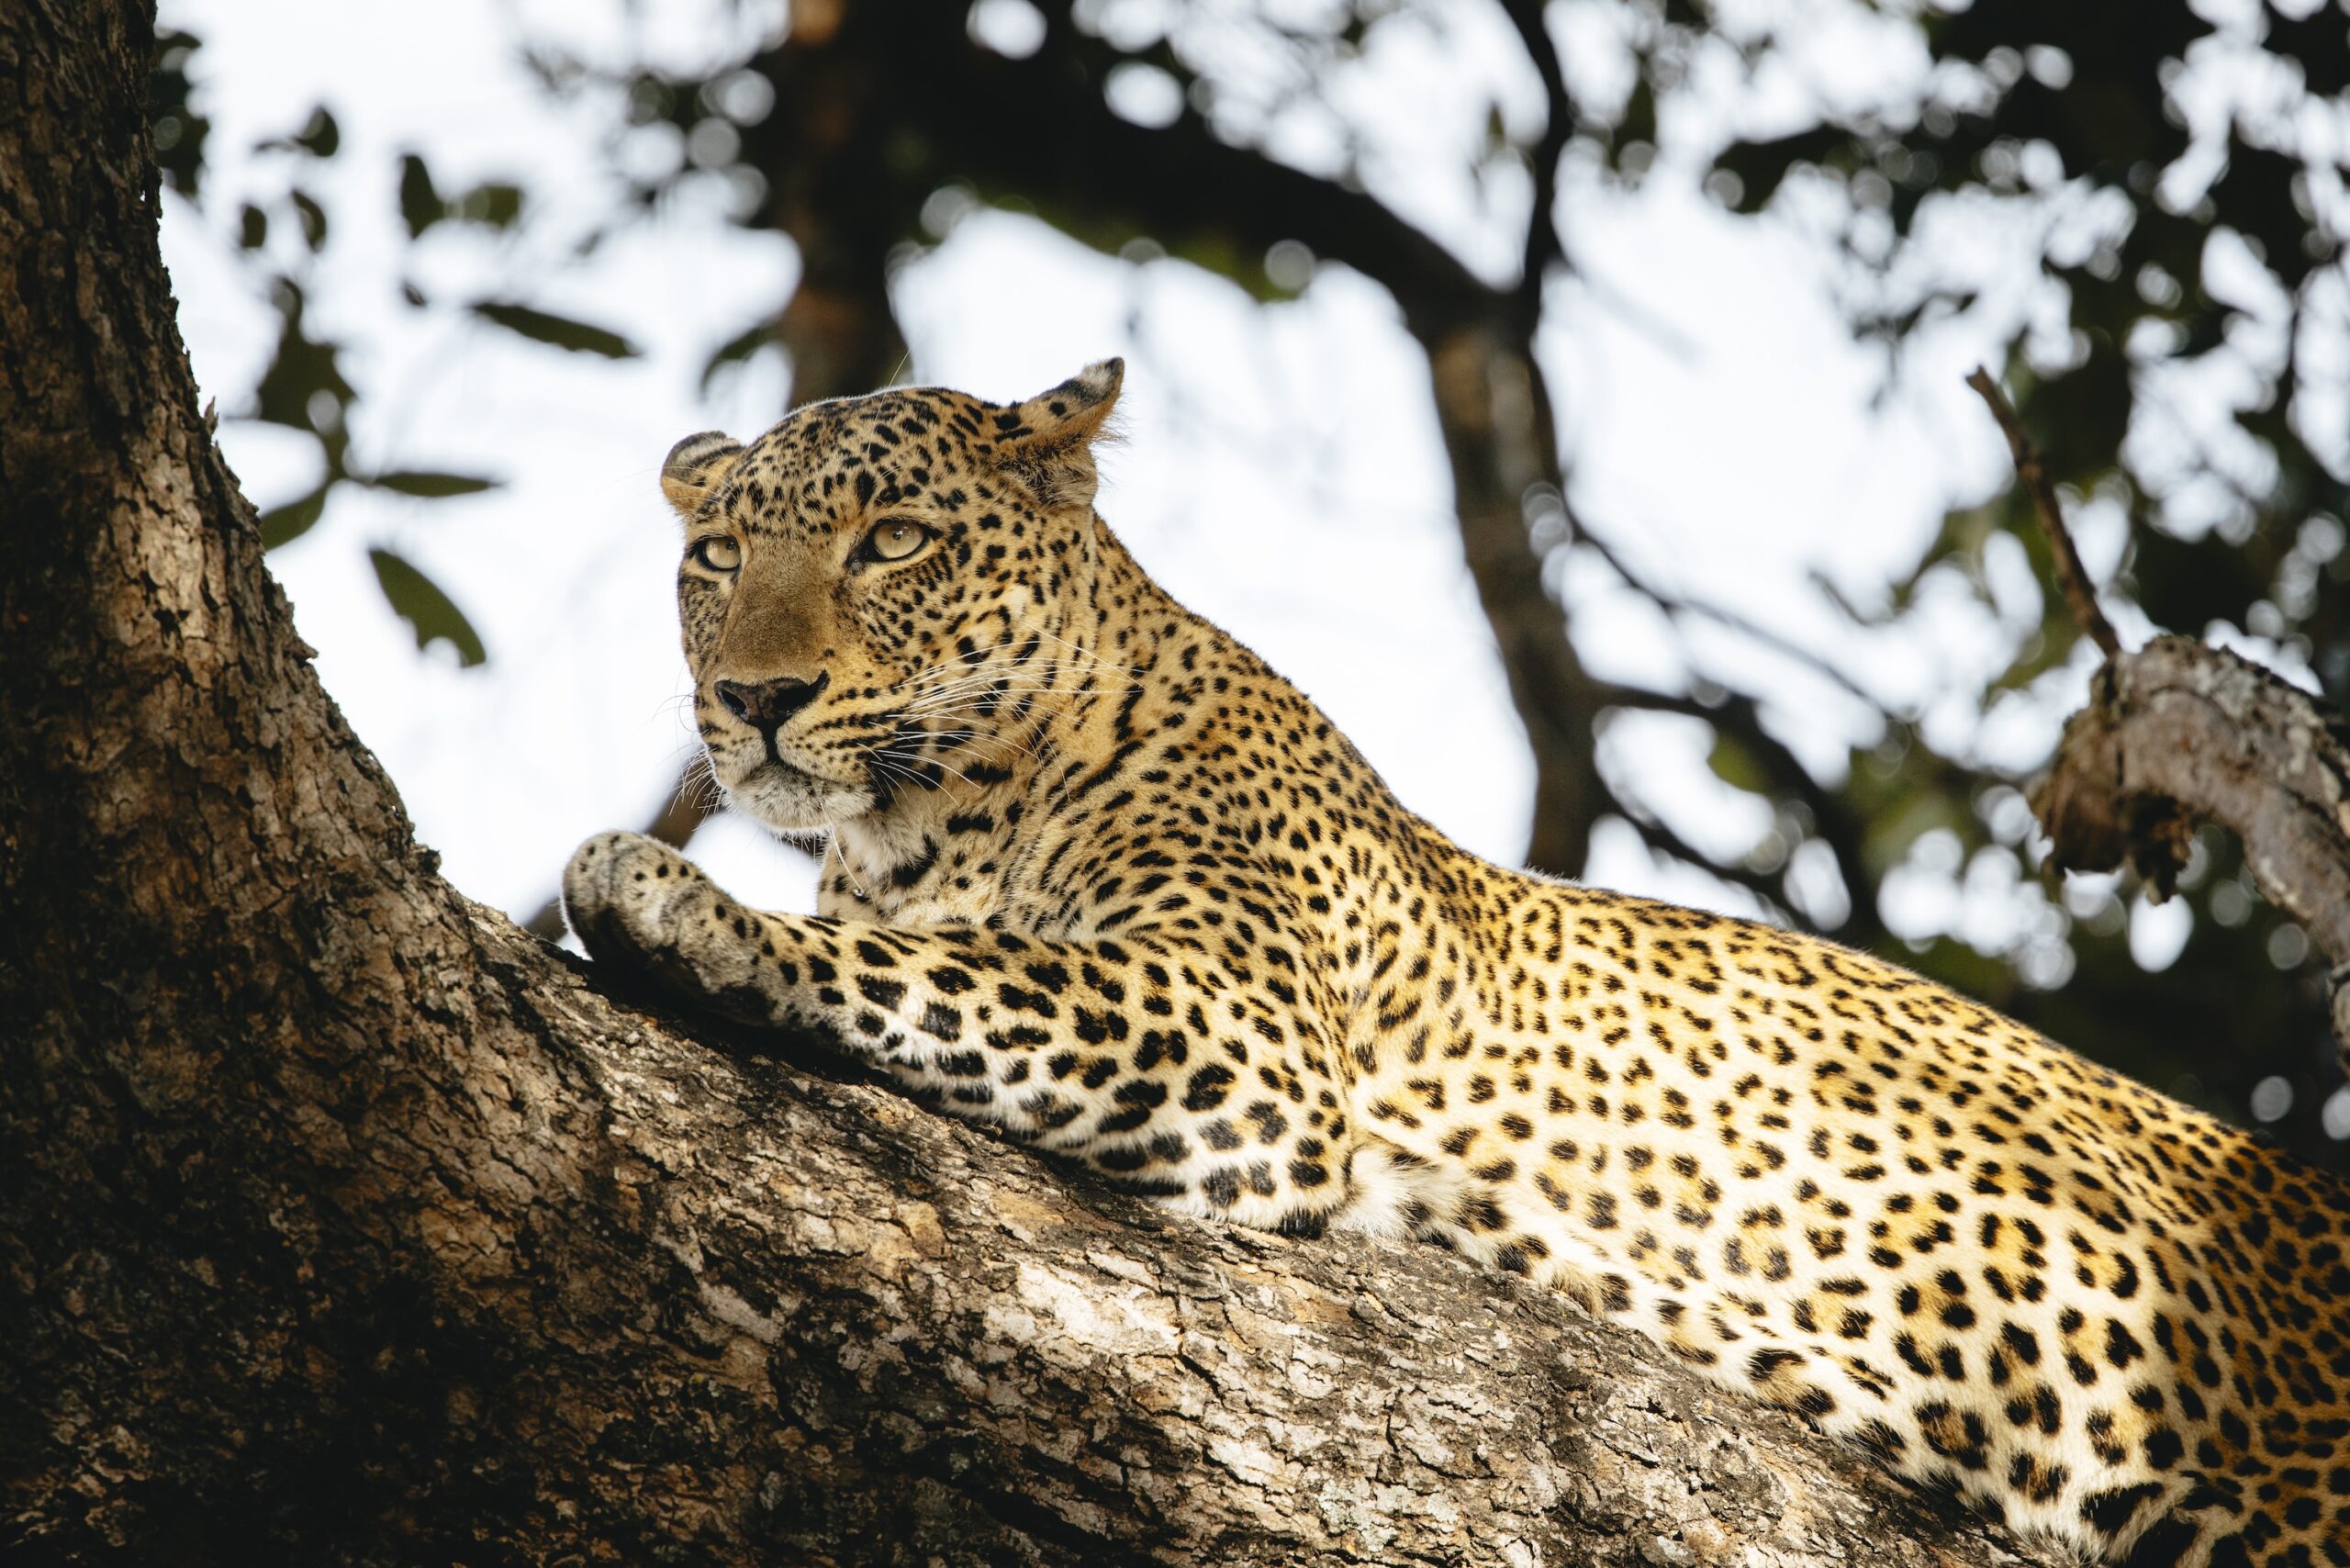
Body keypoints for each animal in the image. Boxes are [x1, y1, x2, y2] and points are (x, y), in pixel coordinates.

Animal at [563, 359, 2350, 1566]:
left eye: (894, 541)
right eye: (715, 559)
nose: (754, 700)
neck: (924, 822)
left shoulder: (1238, 1028)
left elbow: (935, 970)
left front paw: (667, 894)